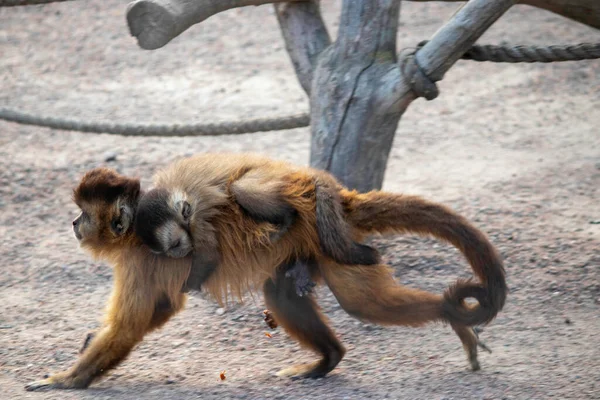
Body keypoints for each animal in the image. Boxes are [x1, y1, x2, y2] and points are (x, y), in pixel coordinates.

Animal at [27, 154, 506, 390]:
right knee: (286, 294)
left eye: (83, 214)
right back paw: (328, 359)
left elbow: (135, 322)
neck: (133, 240)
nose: (74, 224)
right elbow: (160, 309)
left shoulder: (150, 257)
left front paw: (70, 379)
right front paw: (83, 353)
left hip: (328, 237)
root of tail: (330, 199)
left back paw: (449, 314)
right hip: (318, 247)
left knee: (365, 304)